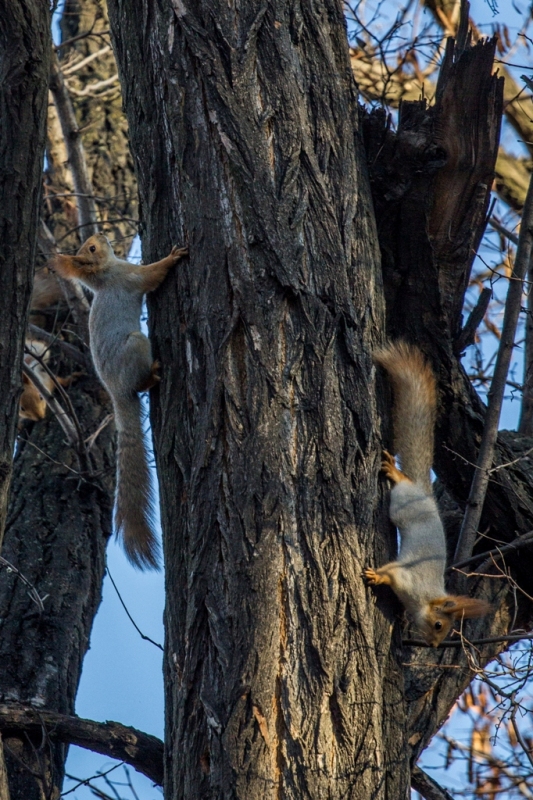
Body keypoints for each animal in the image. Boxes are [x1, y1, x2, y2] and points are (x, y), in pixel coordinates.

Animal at [50, 231, 187, 568]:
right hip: (136, 346)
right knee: (141, 377)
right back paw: (152, 374)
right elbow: (153, 274)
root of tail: (117, 393)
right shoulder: (130, 277)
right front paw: (173, 256)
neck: (103, 275)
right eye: (92, 248)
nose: (100, 234)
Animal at [364, 340, 488, 648]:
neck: (424, 598)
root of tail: (425, 492)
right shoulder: (407, 577)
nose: (433, 645)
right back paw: (396, 473)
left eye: (444, 630)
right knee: (402, 487)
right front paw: (377, 576)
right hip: (403, 504)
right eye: (439, 624)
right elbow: (390, 573)